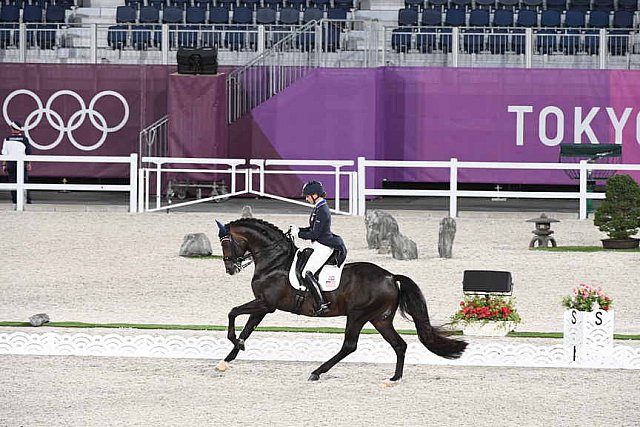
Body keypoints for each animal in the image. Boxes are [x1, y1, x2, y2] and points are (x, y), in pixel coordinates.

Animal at [215, 219, 464, 382]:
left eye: (225, 243)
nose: (230, 269)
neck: (275, 261)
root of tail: (391, 277)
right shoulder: (263, 305)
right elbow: (247, 328)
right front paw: (228, 358)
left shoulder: (267, 304)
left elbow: (232, 312)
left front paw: (235, 343)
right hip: (380, 319)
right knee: (399, 345)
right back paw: (394, 378)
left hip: (357, 315)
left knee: (349, 346)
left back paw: (317, 372)